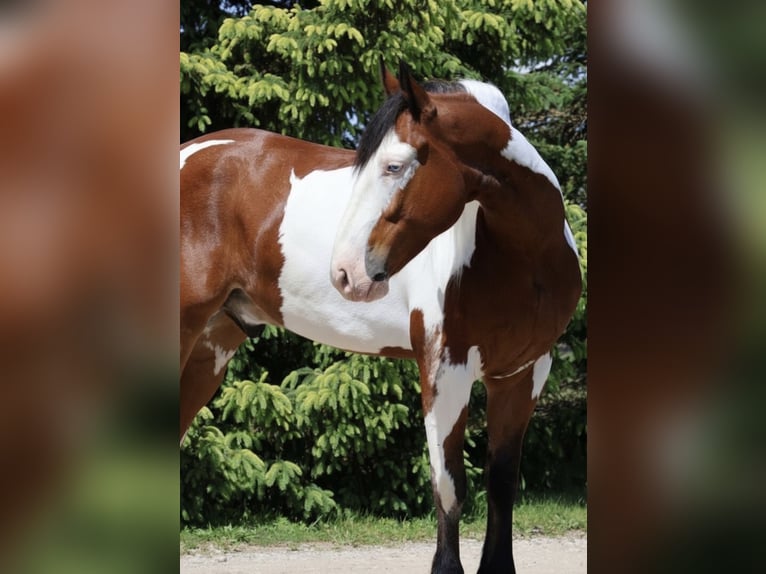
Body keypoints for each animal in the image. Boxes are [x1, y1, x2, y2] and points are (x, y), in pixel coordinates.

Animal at [180, 61, 582, 574]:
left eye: (393, 166)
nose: (345, 272)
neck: (522, 259)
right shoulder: (444, 369)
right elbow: (449, 488)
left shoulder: (524, 373)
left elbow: (502, 485)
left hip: (211, 345)